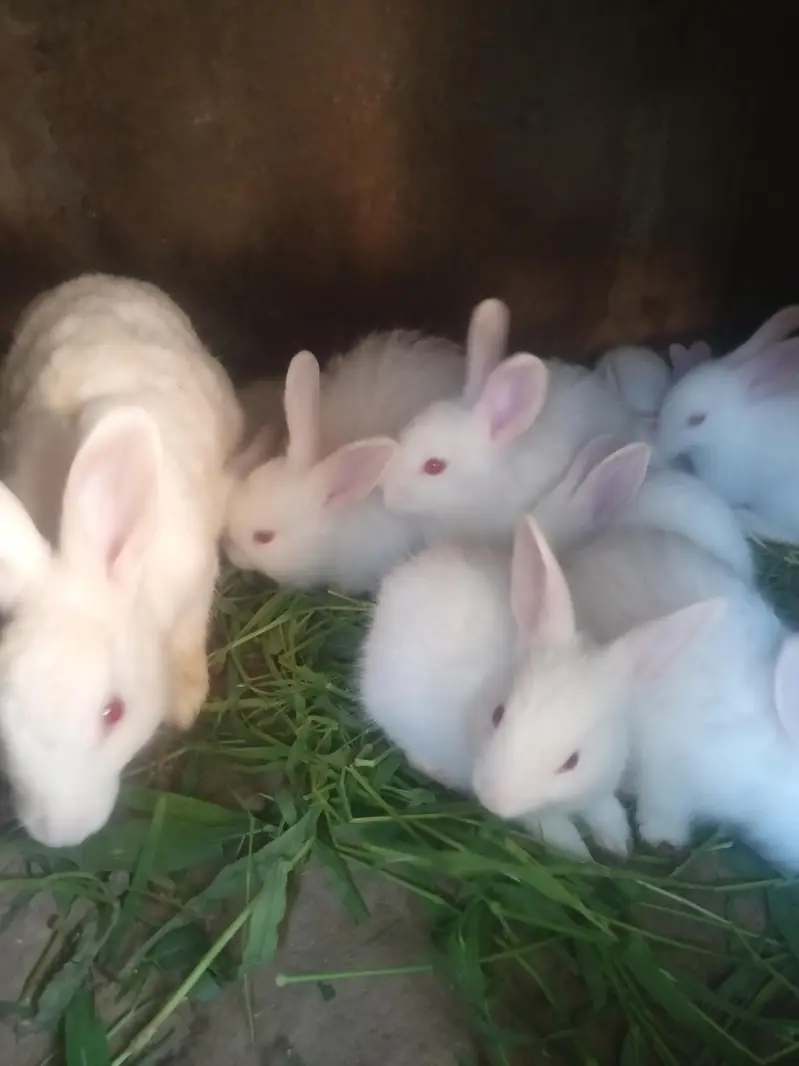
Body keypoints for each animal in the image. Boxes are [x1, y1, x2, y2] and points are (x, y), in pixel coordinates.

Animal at [0, 273, 243, 848]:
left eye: (113, 713)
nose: (60, 835)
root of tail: (104, 280)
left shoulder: (195, 579)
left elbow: (186, 640)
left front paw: (184, 702)